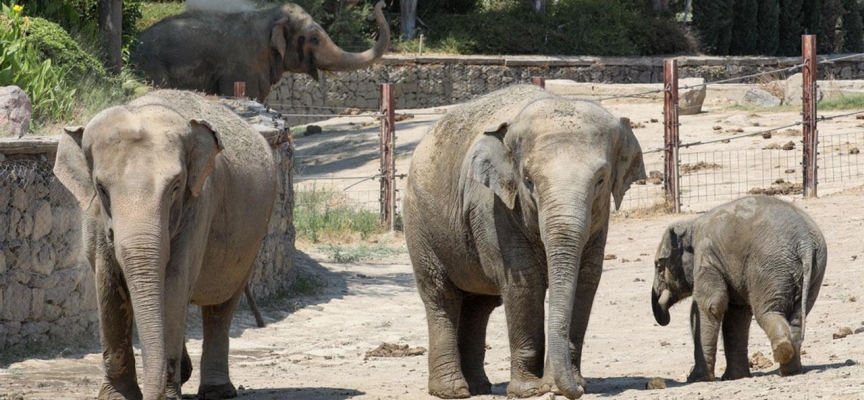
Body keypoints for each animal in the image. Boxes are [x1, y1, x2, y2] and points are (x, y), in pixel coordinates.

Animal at [53, 90, 276, 400]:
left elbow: (174, 282)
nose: (154, 394)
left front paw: (168, 395)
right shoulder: (94, 215)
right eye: (101, 189)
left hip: (253, 236)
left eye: (175, 187)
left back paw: (216, 390)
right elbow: (108, 283)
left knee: (220, 304)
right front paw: (116, 396)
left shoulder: (198, 206)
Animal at [404, 83, 648, 396]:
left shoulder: (600, 219)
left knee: (478, 306)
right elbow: (525, 282)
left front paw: (561, 384)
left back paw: (480, 387)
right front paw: (529, 390)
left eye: (601, 181)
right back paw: (453, 391)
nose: (577, 390)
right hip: (419, 223)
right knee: (440, 295)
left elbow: (586, 277)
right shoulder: (492, 207)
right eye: (529, 181)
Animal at [652, 195, 828, 382]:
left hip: (769, 267)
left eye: (659, 266)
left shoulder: (707, 256)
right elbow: (736, 314)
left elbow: (710, 305)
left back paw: (782, 351)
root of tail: (805, 242)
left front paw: (697, 379)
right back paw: (791, 370)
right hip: (814, 270)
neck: (691, 224)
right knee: (797, 317)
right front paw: (734, 377)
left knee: (765, 312)